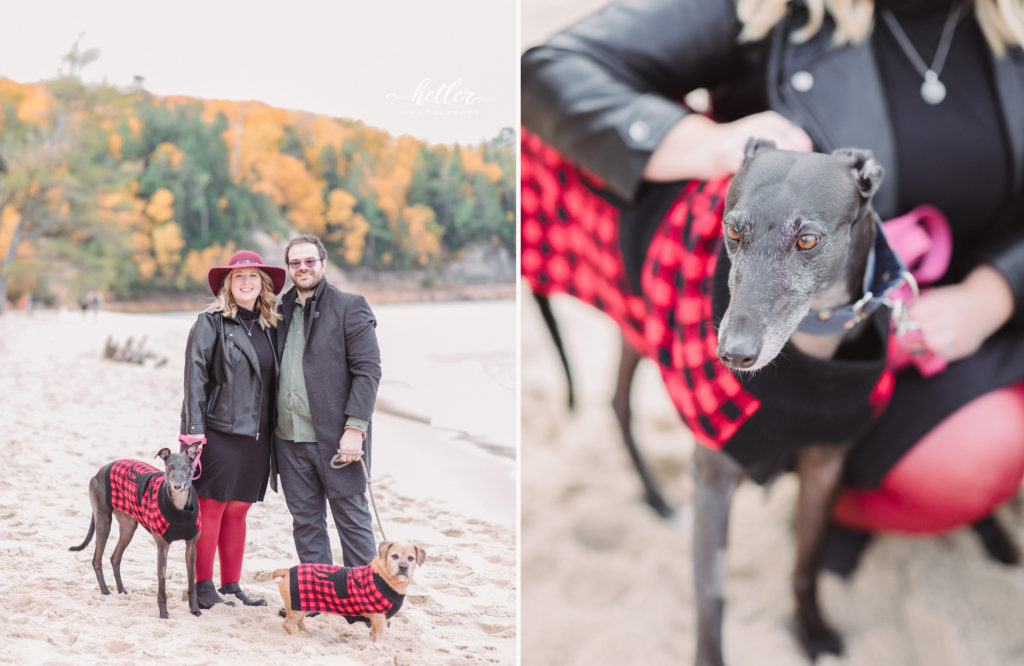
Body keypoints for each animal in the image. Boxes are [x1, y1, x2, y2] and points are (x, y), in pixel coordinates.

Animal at [69, 442, 201, 618]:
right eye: (170, 466)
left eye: (186, 467)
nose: (177, 486)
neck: (179, 508)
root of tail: (102, 470)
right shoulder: (162, 547)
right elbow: (162, 581)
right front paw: (163, 613)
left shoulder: (191, 546)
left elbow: (191, 580)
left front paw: (195, 610)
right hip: (103, 522)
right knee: (97, 559)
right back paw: (105, 591)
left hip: (128, 526)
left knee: (115, 558)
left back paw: (121, 590)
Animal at [270, 540, 425, 639]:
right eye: (394, 556)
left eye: (411, 558)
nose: (403, 567)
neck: (384, 576)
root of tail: (288, 570)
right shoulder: (379, 617)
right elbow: (380, 636)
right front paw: (379, 648)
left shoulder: (376, 620)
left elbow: (373, 634)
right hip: (297, 607)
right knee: (288, 624)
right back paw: (297, 639)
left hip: (304, 605)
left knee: (299, 622)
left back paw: (307, 633)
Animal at [532, 137, 909, 659]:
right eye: (732, 229)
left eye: (807, 240)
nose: (734, 354)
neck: (811, 348)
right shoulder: (713, 474)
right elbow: (710, 594)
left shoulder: (826, 463)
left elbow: (807, 562)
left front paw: (812, 631)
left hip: (637, 320)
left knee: (616, 399)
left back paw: (656, 500)